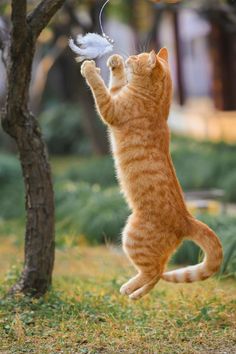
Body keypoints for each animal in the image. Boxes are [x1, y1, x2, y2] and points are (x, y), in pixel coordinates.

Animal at [80, 48, 223, 300]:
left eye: (138, 57)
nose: (129, 57)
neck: (155, 102)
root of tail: (187, 219)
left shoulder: (110, 109)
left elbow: (99, 88)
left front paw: (89, 68)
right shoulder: (116, 95)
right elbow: (115, 83)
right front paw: (115, 63)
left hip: (132, 237)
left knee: (154, 271)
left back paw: (128, 289)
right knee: (159, 272)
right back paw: (136, 294)